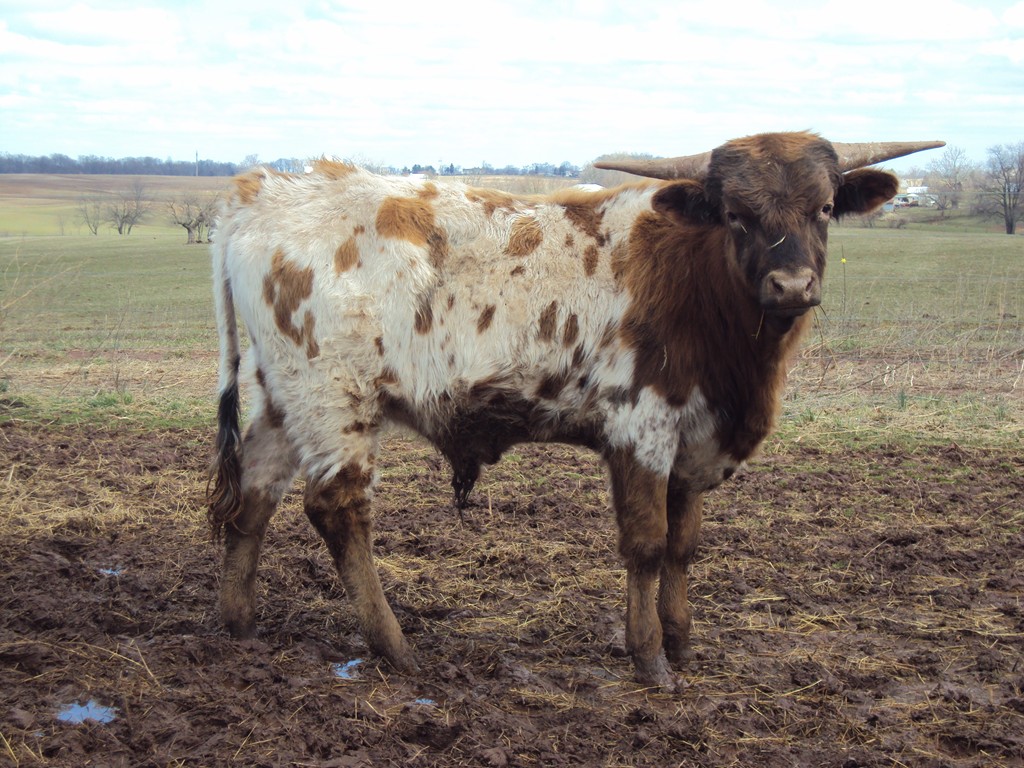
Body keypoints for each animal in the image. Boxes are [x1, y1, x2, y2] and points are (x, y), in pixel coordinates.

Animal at [207, 132, 942, 689]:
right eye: (735, 213)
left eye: (823, 207)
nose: (791, 286)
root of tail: (261, 191)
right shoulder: (643, 428)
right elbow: (647, 544)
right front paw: (649, 658)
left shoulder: (694, 442)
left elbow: (684, 546)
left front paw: (682, 643)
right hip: (336, 397)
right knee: (337, 510)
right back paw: (395, 646)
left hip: (284, 396)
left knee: (255, 495)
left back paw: (240, 622)